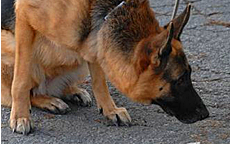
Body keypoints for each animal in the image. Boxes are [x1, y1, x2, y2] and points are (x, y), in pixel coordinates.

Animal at [1, 0, 208, 134]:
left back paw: (72, 91)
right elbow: (20, 82)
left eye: (189, 74)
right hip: (10, 43)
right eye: (180, 79)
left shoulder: (95, 39)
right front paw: (20, 117)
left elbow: (100, 81)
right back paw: (48, 101)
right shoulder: (24, 19)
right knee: (19, 91)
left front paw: (110, 110)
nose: (206, 114)